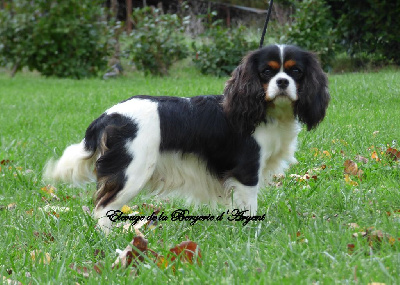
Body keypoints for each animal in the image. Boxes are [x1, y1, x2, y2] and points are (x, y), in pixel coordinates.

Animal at [45, 43, 330, 231]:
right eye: (267, 72)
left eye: (295, 72)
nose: (282, 82)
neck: (267, 112)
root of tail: (108, 116)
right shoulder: (247, 170)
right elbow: (249, 206)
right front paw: (251, 232)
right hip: (132, 171)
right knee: (103, 208)